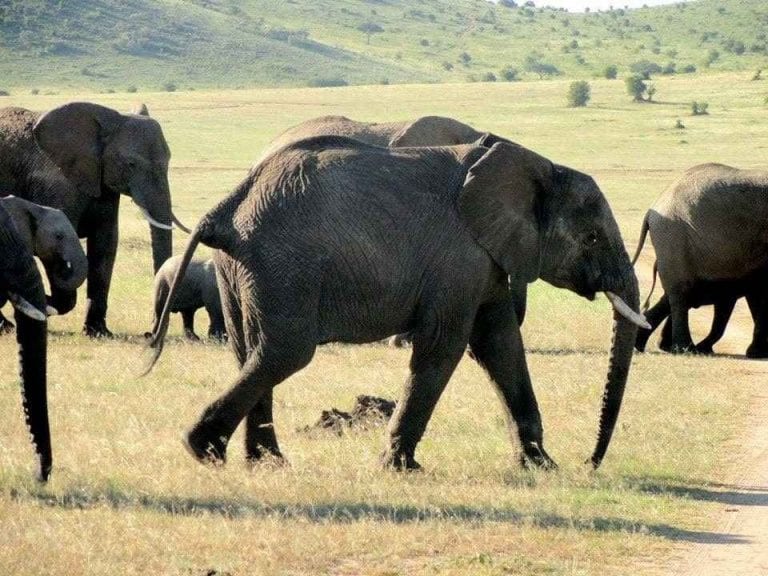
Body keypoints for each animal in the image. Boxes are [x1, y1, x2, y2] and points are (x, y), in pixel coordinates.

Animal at [146, 136, 648, 472]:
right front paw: (402, 468)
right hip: (283, 265)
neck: (536, 165)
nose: (590, 464)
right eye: (592, 237)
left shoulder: (486, 259)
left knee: (247, 350)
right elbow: (446, 346)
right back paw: (202, 450)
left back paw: (265, 463)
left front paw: (542, 467)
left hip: (241, 270)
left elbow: (501, 345)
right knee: (283, 351)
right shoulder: (459, 256)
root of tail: (227, 207)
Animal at [632, 162, 768, 358]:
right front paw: (758, 353)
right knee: (680, 294)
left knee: (676, 294)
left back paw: (645, 343)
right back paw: (685, 348)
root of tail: (652, 210)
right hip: (674, 239)